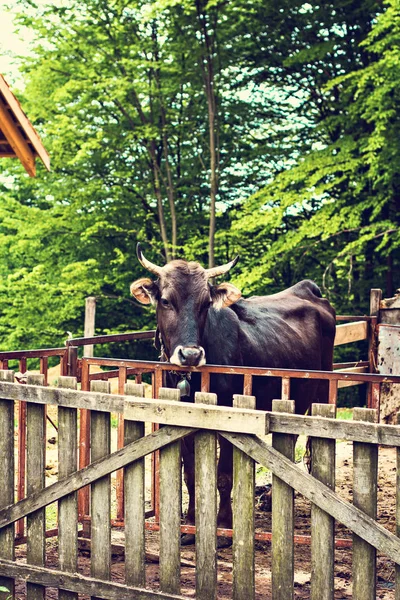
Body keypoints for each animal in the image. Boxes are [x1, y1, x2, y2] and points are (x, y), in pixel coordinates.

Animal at [130, 246, 334, 548]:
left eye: (205, 304)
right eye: (165, 301)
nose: (190, 354)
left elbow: (224, 476)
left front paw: (224, 527)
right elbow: (190, 475)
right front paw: (189, 526)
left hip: (314, 396)